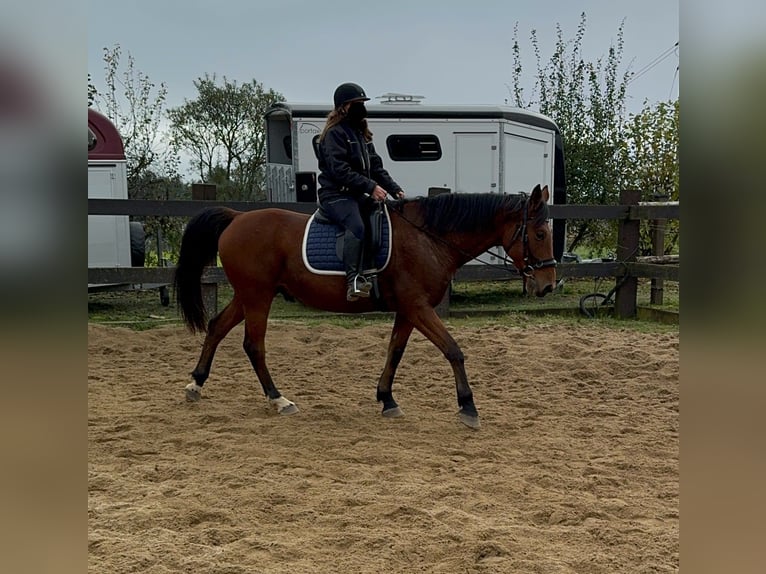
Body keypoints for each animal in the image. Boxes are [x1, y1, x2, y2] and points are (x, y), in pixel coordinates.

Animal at [174, 182, 560, 430]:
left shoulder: (408, 310)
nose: (547, 285)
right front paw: (468, 406)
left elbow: (395, 351)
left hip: (248, 295)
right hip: (258, 296)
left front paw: (387, 399)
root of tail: (237, 217)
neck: (428, 237)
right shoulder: (418, 307)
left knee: (217, 327)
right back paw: (278, 399)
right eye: (540, 234)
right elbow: (453, 350)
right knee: (253, 345)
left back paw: (196, 384)